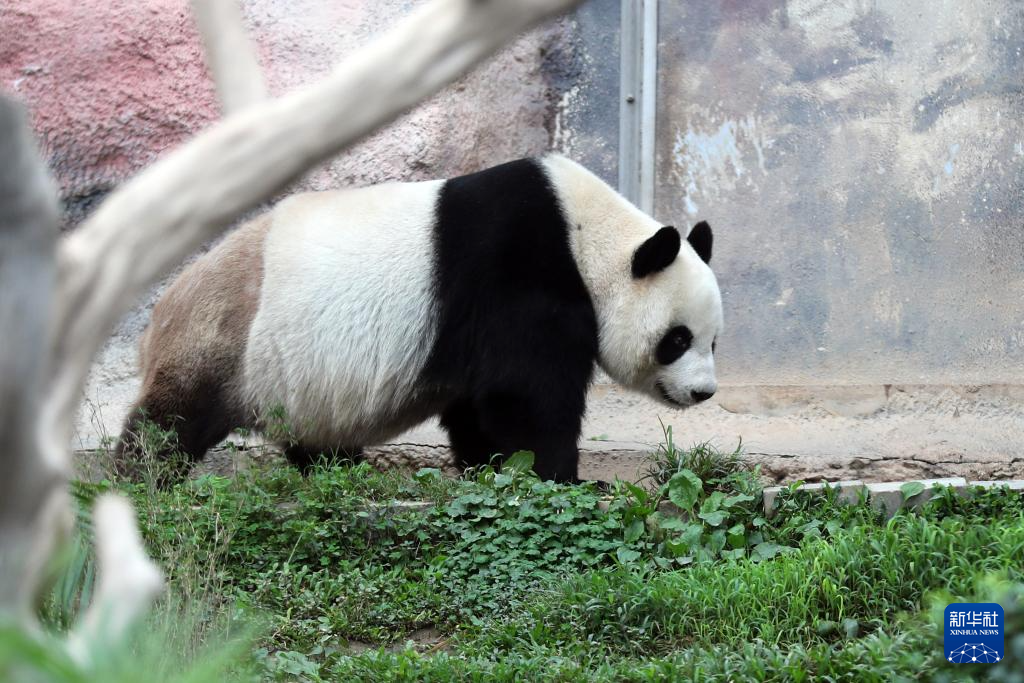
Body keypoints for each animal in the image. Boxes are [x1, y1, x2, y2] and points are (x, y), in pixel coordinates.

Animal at [116, 156, 724, 483]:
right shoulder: (517, 274)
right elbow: (526, 397)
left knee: (315, 439)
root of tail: (156, 318)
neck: (586, 237)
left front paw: (491, 471)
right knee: (171, 421)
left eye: (714, 341)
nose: (703, 393)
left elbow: (479, 408)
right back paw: (141, 482)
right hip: (227, 339)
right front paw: (558, 478)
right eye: (676, 339)